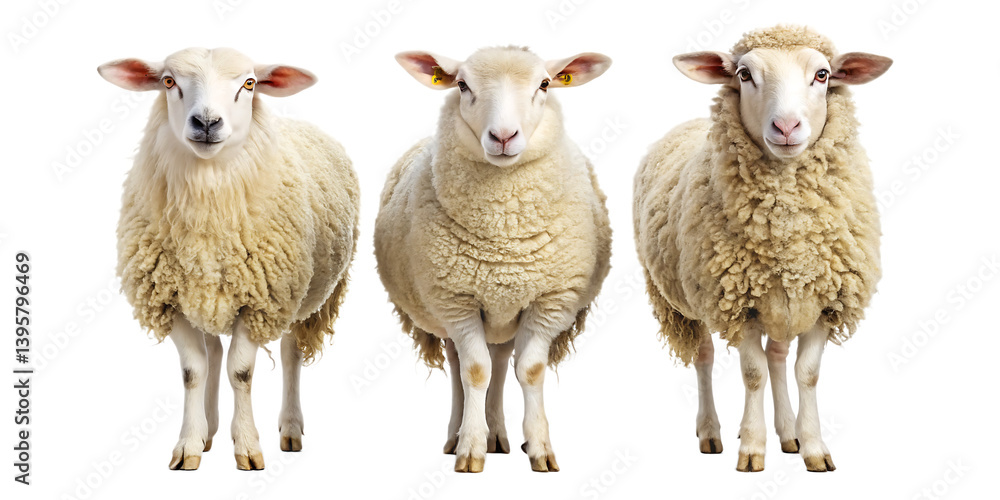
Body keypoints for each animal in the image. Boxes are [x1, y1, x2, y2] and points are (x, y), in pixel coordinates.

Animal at [98, 48, 359, 471]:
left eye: (249, 84)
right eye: (168, 81)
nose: (206, 122)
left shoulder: (261, 301)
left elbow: (242, 372)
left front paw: (248, 448)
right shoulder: (170, 300)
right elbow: (193, 371)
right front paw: (189, 444)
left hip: (301, 296)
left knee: (289, 354)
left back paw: (290, 428)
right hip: (204, 295)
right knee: (214, 352)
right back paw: (209, 429)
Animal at [374, 46, 612, 473]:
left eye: (545, 84)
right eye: (462, 85)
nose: (503, 137)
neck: (505, 231)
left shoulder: (549, 301)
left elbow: (529, 370)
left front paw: (540, 448)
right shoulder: (457, 300)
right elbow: (474, 371)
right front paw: (470, 448)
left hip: (505, 313)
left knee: (501, 361)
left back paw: (499, 435)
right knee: (462, 365)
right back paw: (459, 436)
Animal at [633, 25, 891, 472]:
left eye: (823, 74)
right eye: (744, 74)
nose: (786, 126)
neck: (787, 235)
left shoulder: (824, 301)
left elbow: (806, 373)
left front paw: (814, 448)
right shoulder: (739, 304)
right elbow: (752, 374)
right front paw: (752, 449)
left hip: (783, 304)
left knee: (777, 356)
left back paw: (788, 433)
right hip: (685, 300)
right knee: (705, 357)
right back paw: (711, 431)